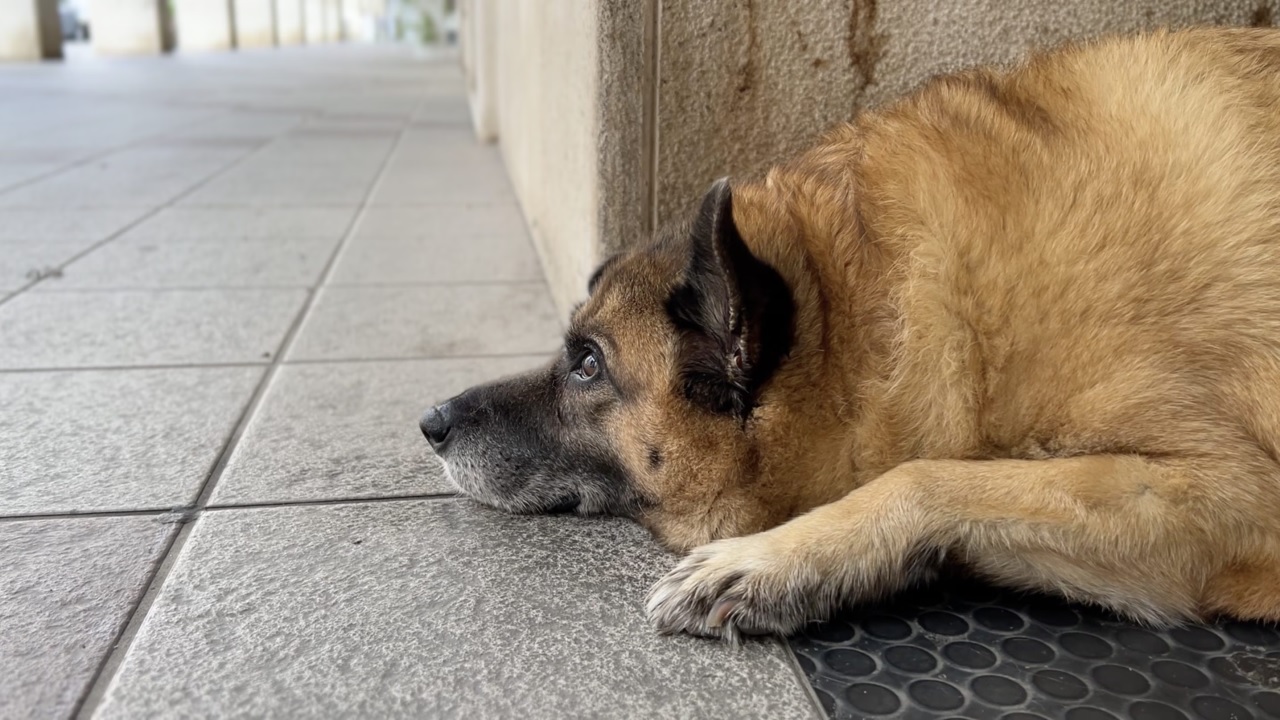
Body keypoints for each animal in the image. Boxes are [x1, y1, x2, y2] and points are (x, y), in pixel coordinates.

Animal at [419, 26, 1280, 638]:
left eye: (589, 365)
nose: (430, 422)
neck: (867, 313)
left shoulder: (1234, 492)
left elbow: (925, 475)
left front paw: (773, 561)